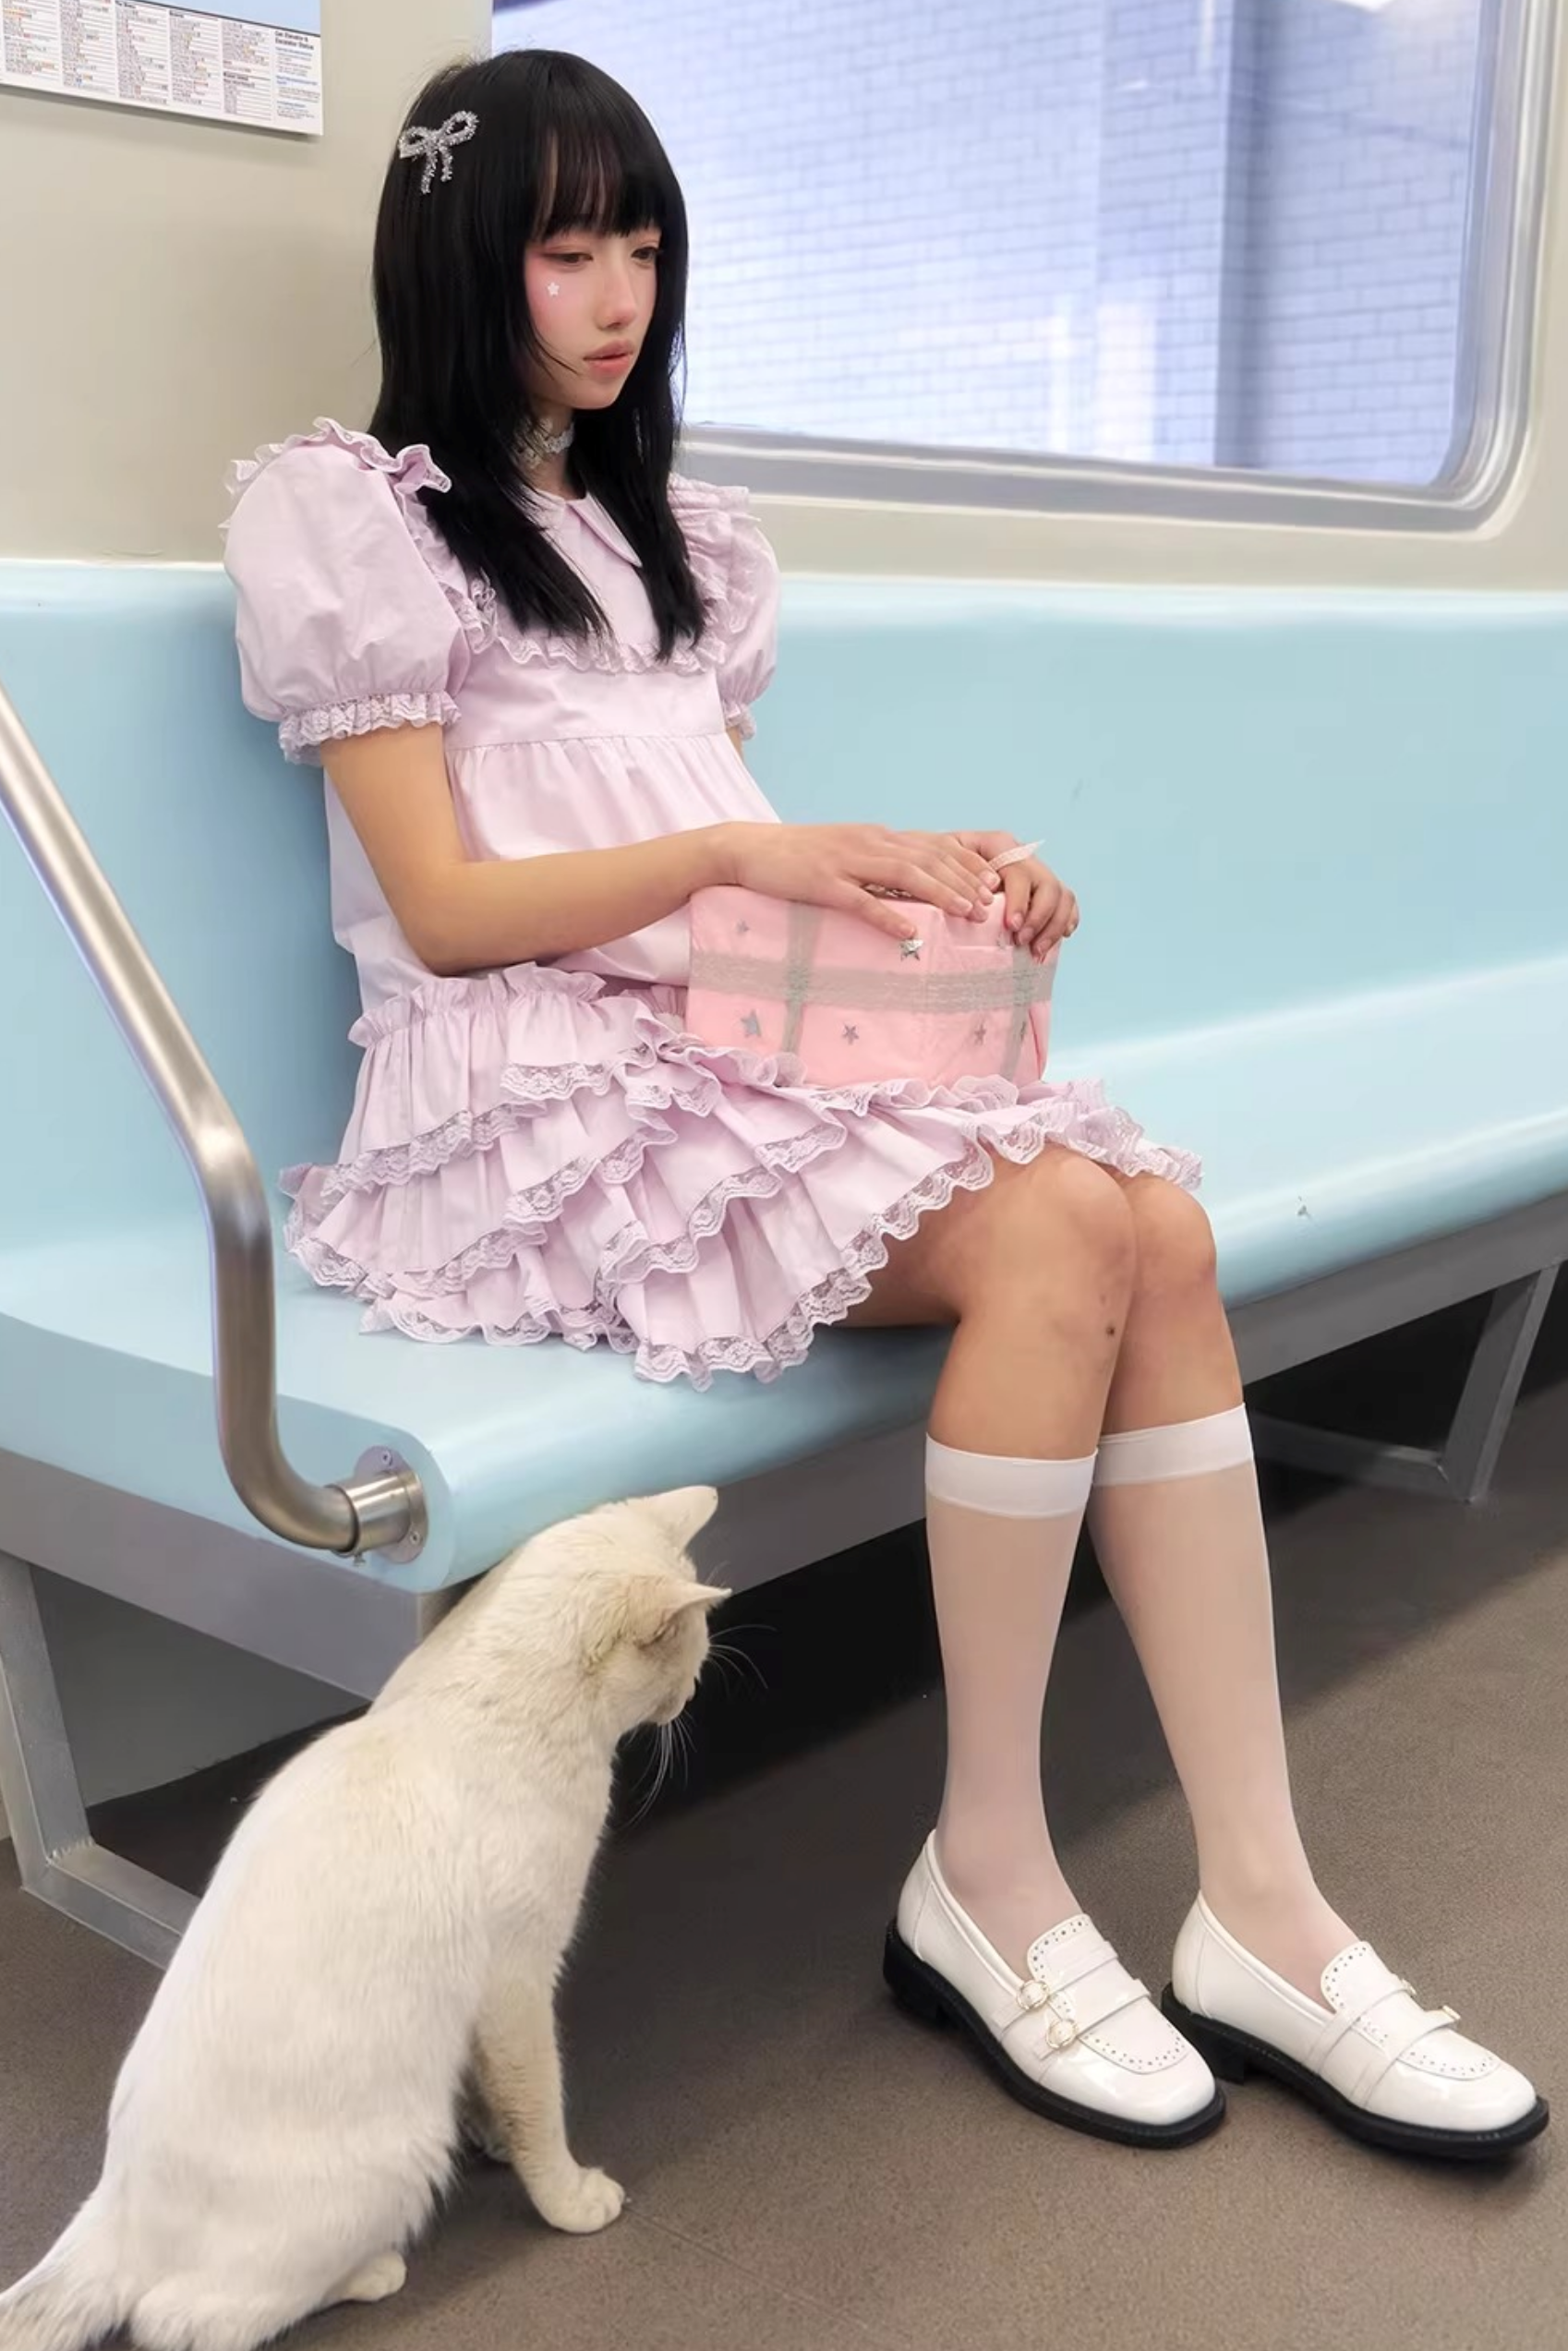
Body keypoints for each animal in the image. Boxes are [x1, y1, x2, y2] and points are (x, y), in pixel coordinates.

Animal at [0, 1486, 727, 2351]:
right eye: (694, 1659)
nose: (692, 1699)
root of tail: (116, 2208)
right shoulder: (519, 1987)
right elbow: (539, 2110)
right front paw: (570, 2197)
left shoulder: (485, 2011)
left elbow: (492, 2092)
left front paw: (489, 2133)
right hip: (402, 2155)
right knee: (179, 2320)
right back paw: (372, 2272)